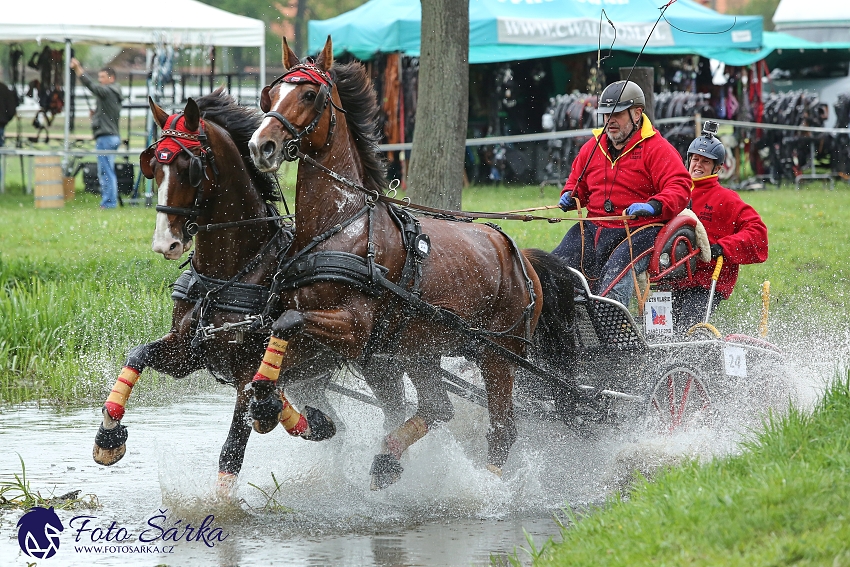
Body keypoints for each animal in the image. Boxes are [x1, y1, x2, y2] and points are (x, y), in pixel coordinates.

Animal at [245, 37, 576, 488]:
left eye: (310, 95)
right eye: (270, 95)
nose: (261, 146)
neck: (342, 224)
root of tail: (519, 257)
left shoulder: (354, 329)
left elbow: (286, 324)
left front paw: (271, 403)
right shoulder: (338, 341)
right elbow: (277, 355)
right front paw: (269, 403)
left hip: (499, 355)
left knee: (502, 428)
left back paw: (485, 486)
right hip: (421, 347)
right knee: (438, 407)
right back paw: (388, 458)